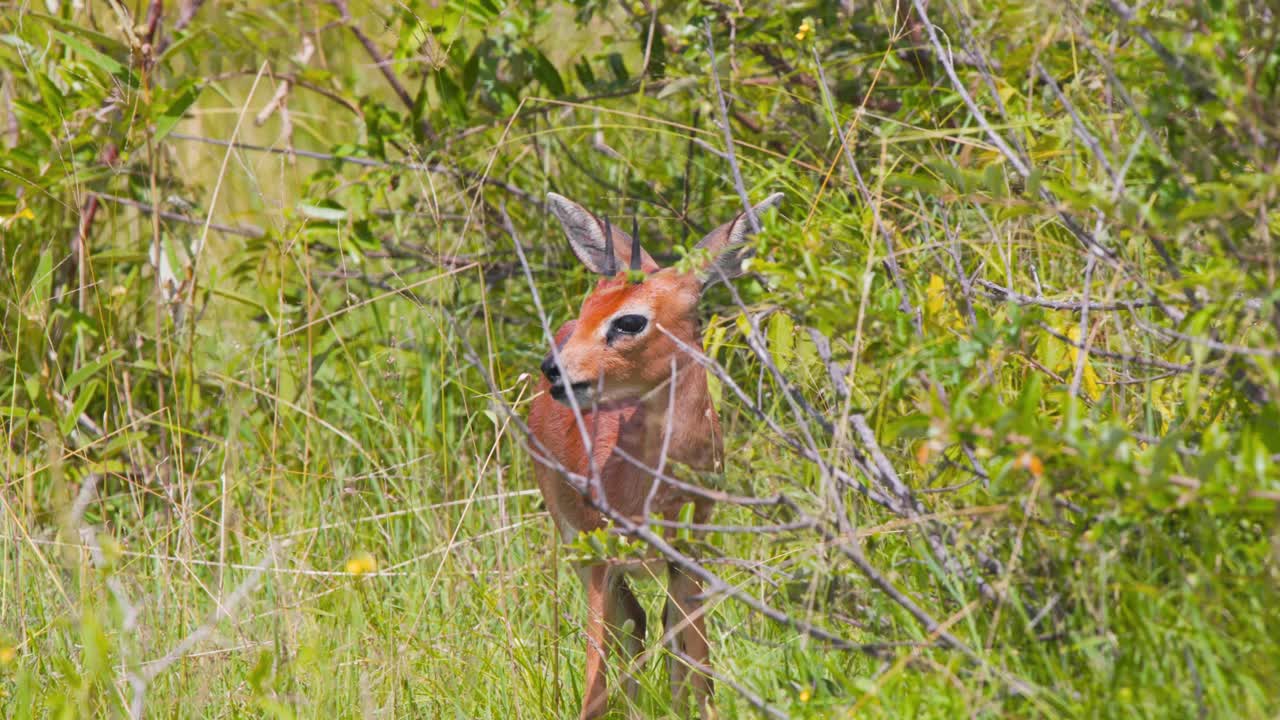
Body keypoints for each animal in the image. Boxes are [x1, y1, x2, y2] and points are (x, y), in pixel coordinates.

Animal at [528, 191, 783, 719]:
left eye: (630, 320)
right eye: (589, 305)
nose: (554, 369)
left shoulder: (688, 555)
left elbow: (699, 666)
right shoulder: (599, 558)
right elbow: (595, 680)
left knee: (656, 625)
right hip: (581, 550)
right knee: (633, 626)